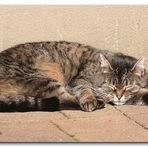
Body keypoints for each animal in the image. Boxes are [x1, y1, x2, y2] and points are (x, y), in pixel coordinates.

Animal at [0, 41, 147, 111]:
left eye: (128, 87)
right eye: (111, 86)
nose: (119, 96)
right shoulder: (76, 82)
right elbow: (84, 90)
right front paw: (89, 99)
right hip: (43, 80)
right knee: (62, 100)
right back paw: (97, 102)